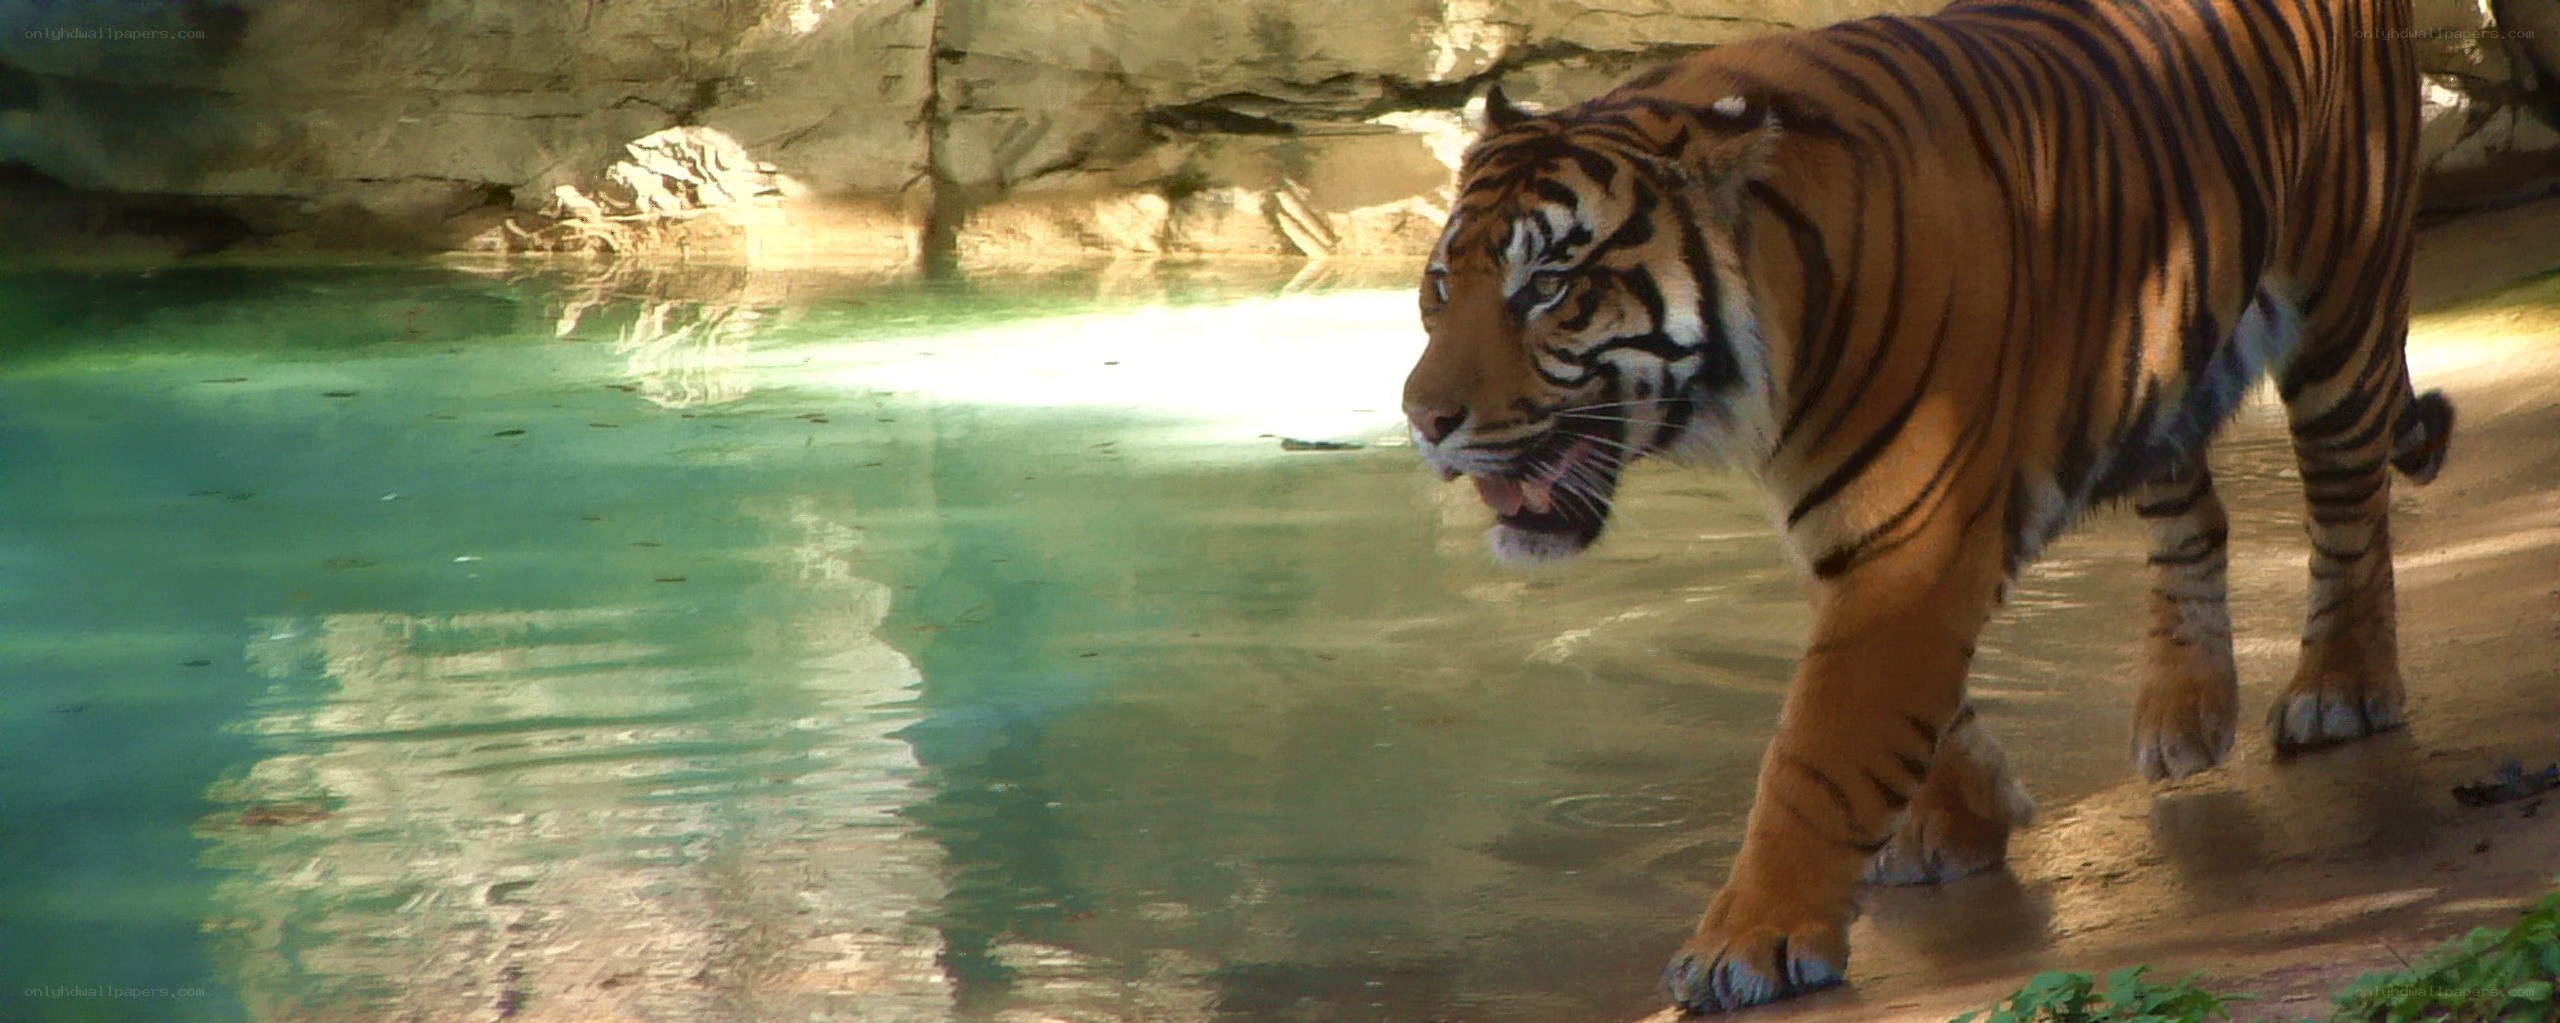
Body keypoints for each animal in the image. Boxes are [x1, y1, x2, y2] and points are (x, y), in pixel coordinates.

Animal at [1399, 0, 2456, 1011]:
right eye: (1441, 285)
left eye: (1549, 287)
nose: (1422, 417)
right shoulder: (1849, 535)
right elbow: (1914, 715)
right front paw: (1960, 820)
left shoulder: (1906, 541)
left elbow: (1821, 749)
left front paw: (1749, 943)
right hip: (2160, 341)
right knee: (2191, 517)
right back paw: (2182, 711)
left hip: (2341, 303)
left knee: (2348, 504)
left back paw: (2339, 687)